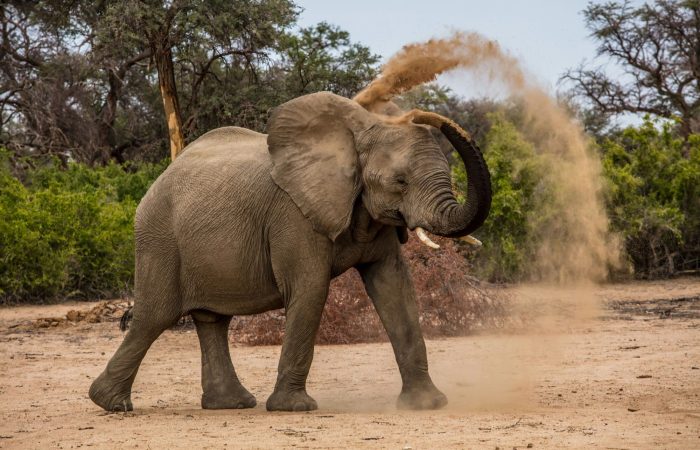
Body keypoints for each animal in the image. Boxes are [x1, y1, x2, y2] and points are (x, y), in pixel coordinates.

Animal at [87, 90, 492, 412]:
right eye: (400, 181)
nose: (421, 114)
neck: (358, 133)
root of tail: (158, 180)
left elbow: (395, 288)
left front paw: (428, 404)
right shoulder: (293, 215)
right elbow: (311, 289)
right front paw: (295, 408)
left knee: (212, 320)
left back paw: (231, 404)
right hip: (159, 237)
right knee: (155, 316)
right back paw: (111, 404)